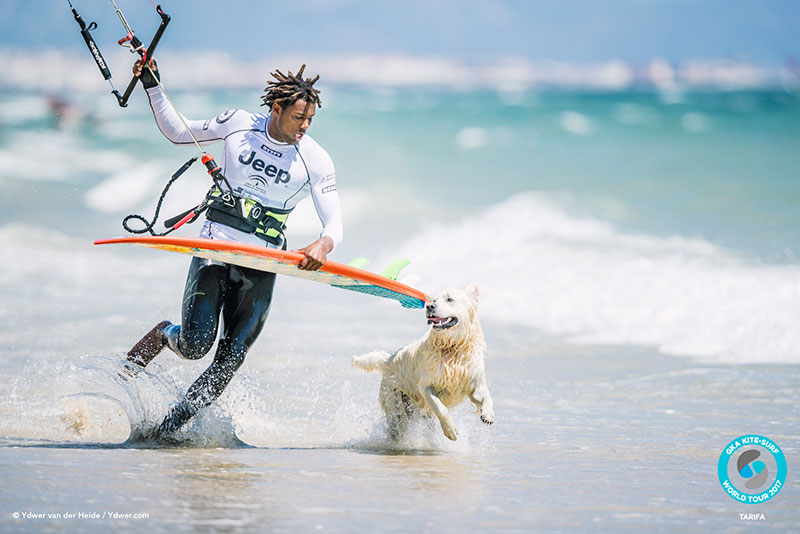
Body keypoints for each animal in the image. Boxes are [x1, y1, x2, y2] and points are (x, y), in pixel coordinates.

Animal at [352, 286, 490, 442]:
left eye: (450, 299)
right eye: (434, 300)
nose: (429, 306)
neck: (453, 347)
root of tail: (388, 359)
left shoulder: (474, 381)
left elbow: (486, 396)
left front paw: (488, 414)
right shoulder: (426, 385)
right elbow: (440, 408)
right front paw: (450, 430)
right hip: (396, 405)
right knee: (398, 425)